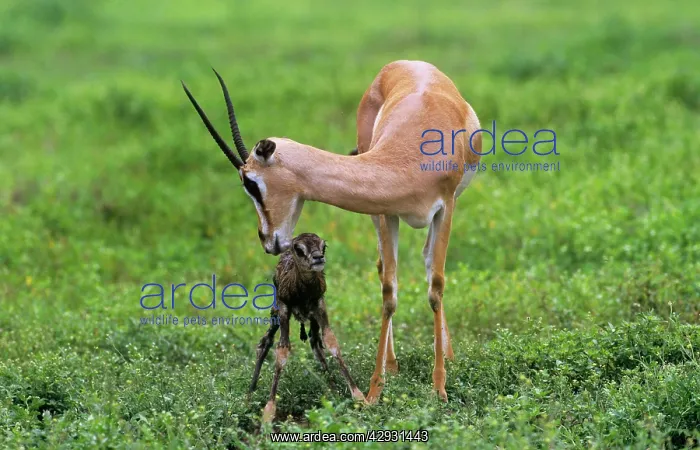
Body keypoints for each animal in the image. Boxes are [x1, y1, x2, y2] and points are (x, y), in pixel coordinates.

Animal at [182, 60, 482, 403]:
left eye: (250, 183)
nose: (267, 240)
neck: (406, 156)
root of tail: (403, 63)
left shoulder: (446, 206)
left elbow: (436, 285)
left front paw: (440, 388)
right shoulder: (387, 210)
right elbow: (389, 291)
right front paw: (375, 390)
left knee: (430, 263)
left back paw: (447, 356)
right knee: (388, 267)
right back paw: (394, 364)